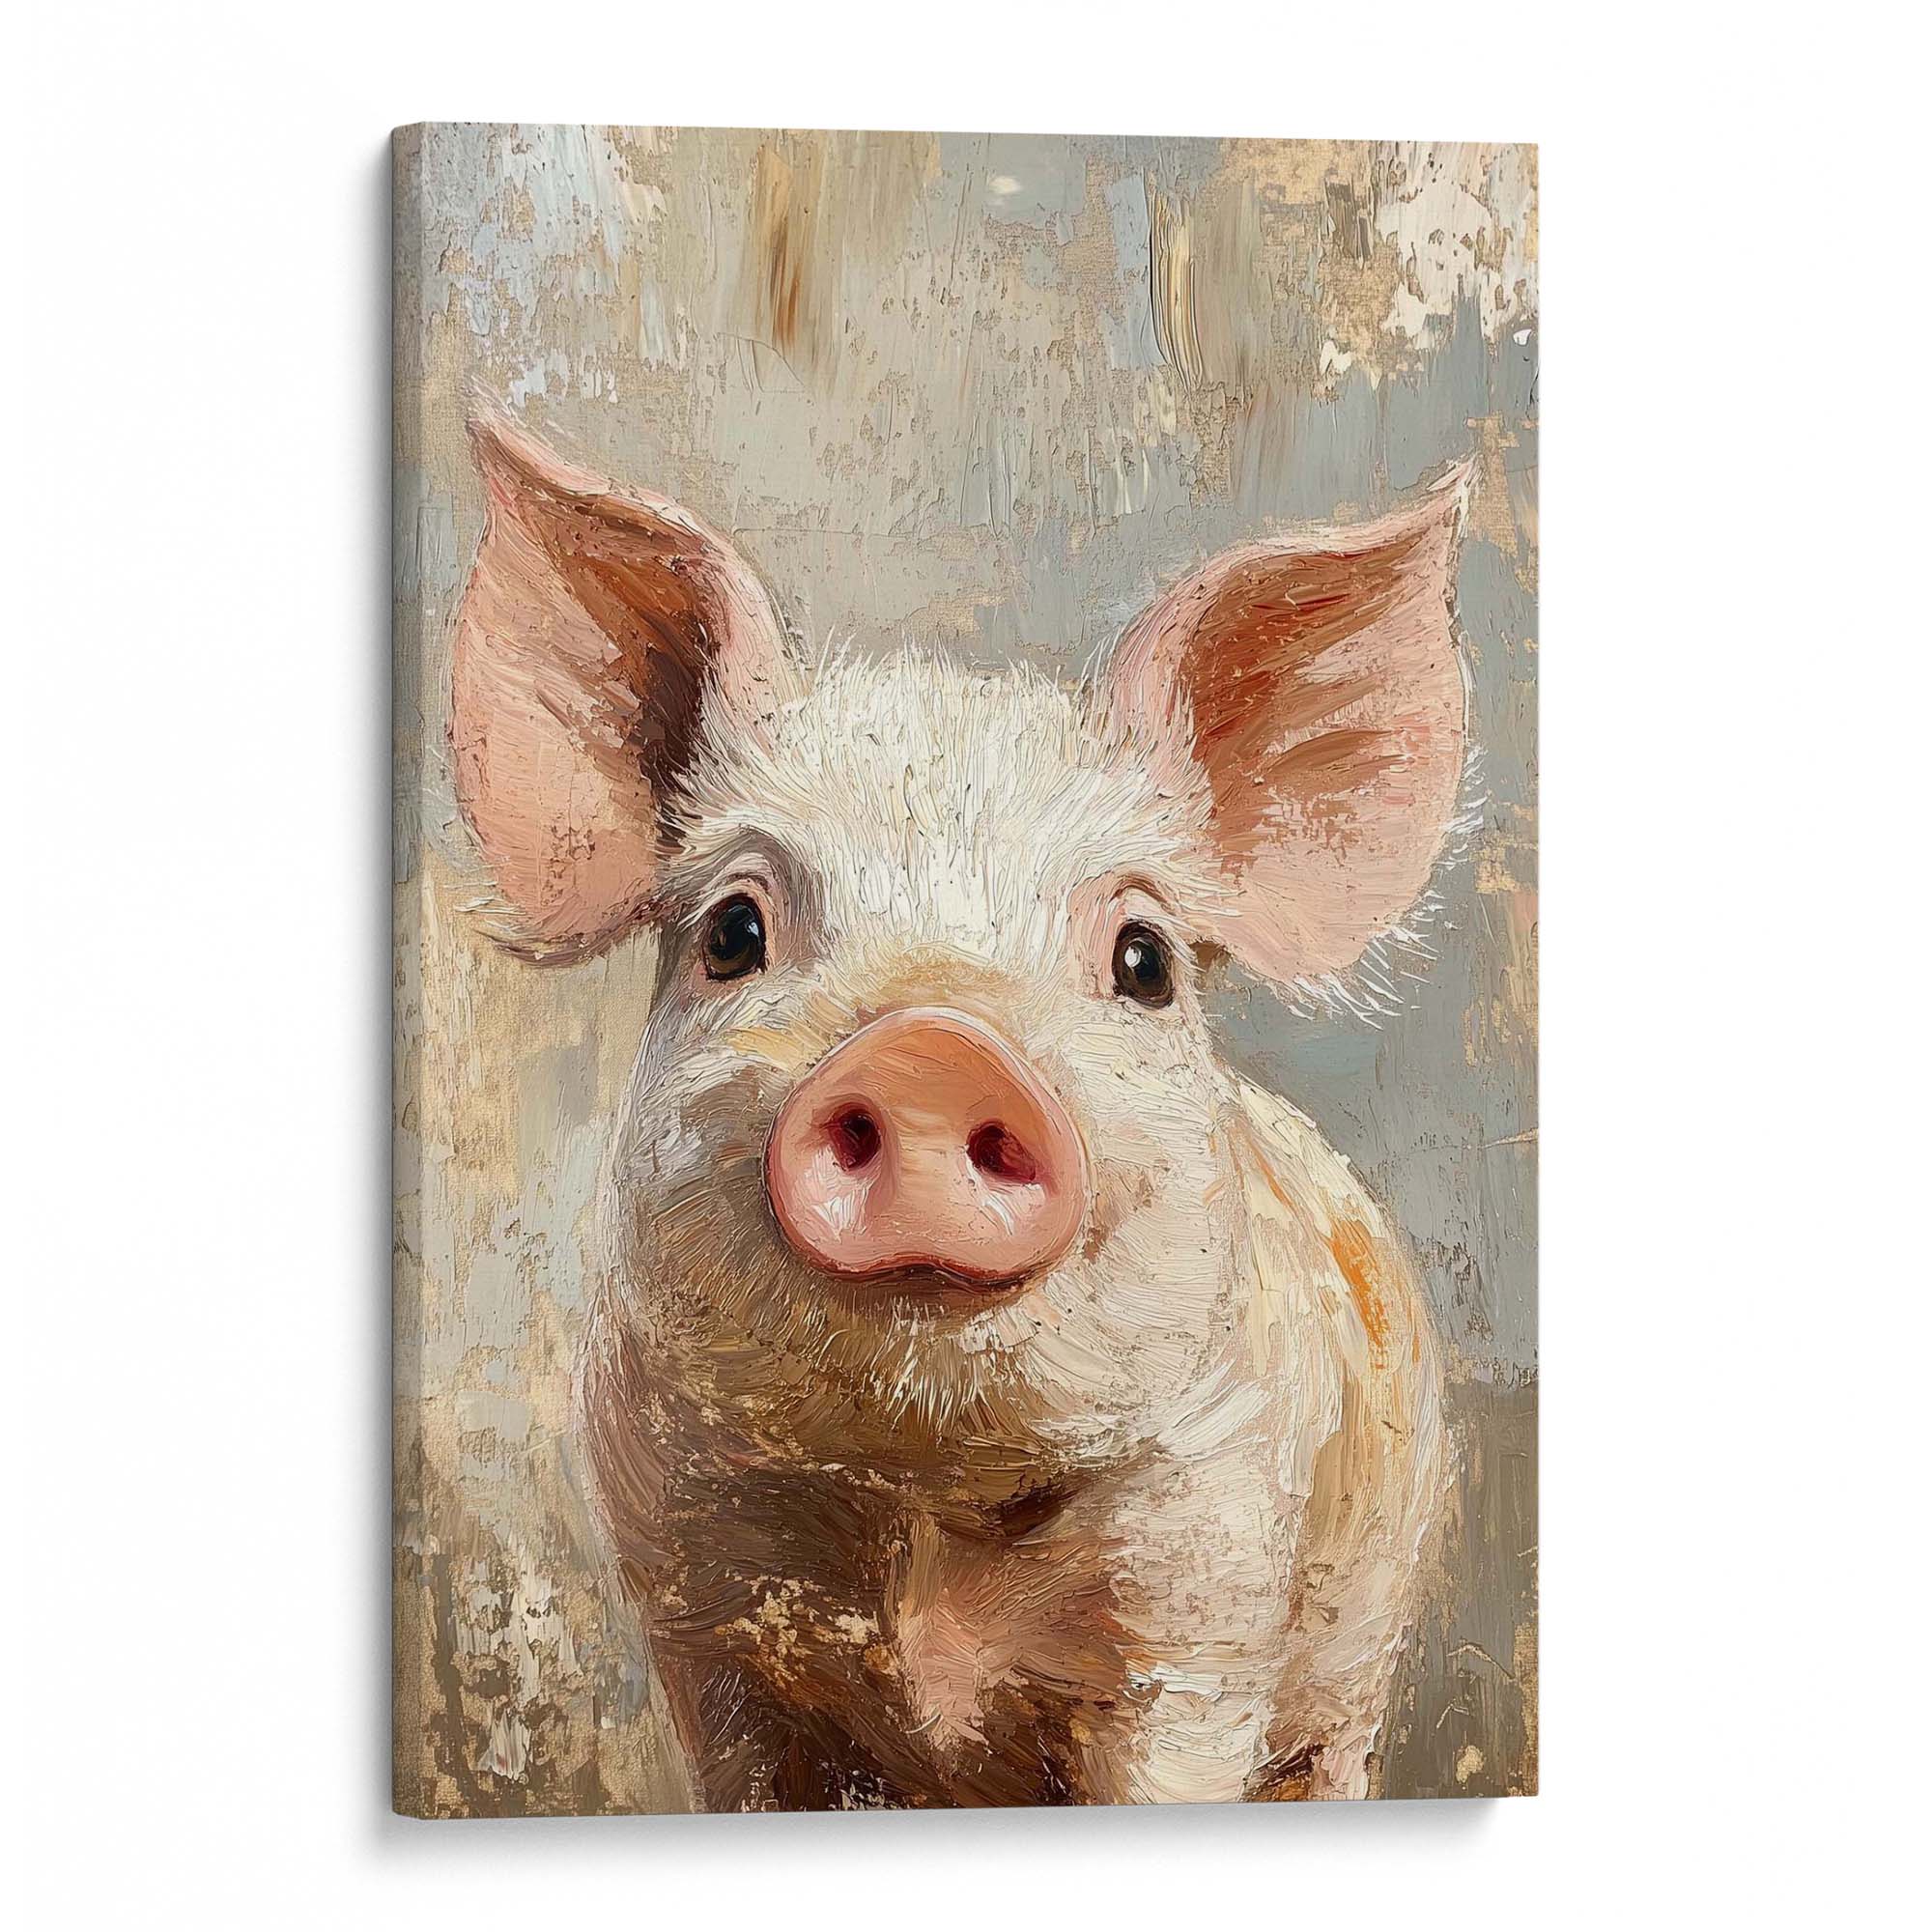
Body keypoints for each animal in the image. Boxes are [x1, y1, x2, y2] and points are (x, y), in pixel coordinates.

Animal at [449, 411, 1464, 1809]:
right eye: (732, 932)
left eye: (1143, 958)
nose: (931, 1049)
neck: (923, 1513)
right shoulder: (698, 1622)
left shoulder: (1204, 1616)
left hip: (1357, 1657)